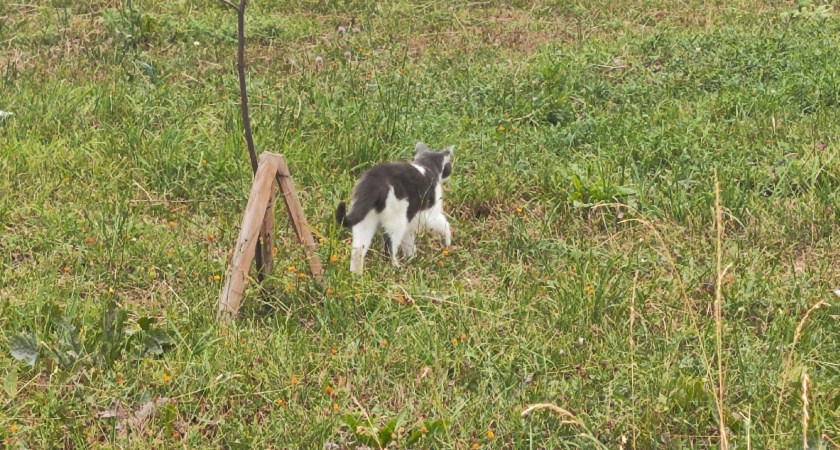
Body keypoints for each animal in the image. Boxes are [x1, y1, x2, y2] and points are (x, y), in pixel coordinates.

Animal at [334, 142, 452, 274]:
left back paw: (356, 275)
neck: (426, 166)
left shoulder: (410, 222)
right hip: (396, 220)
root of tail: (373, 180)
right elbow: (445, 225)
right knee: (389, 248)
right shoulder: (430, 215)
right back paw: (395, 267)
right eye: (449, 165)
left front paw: (411, 257)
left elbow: (408, 241)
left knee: (358, 249)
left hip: (365, 219)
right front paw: (447, 243)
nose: (450, 170)